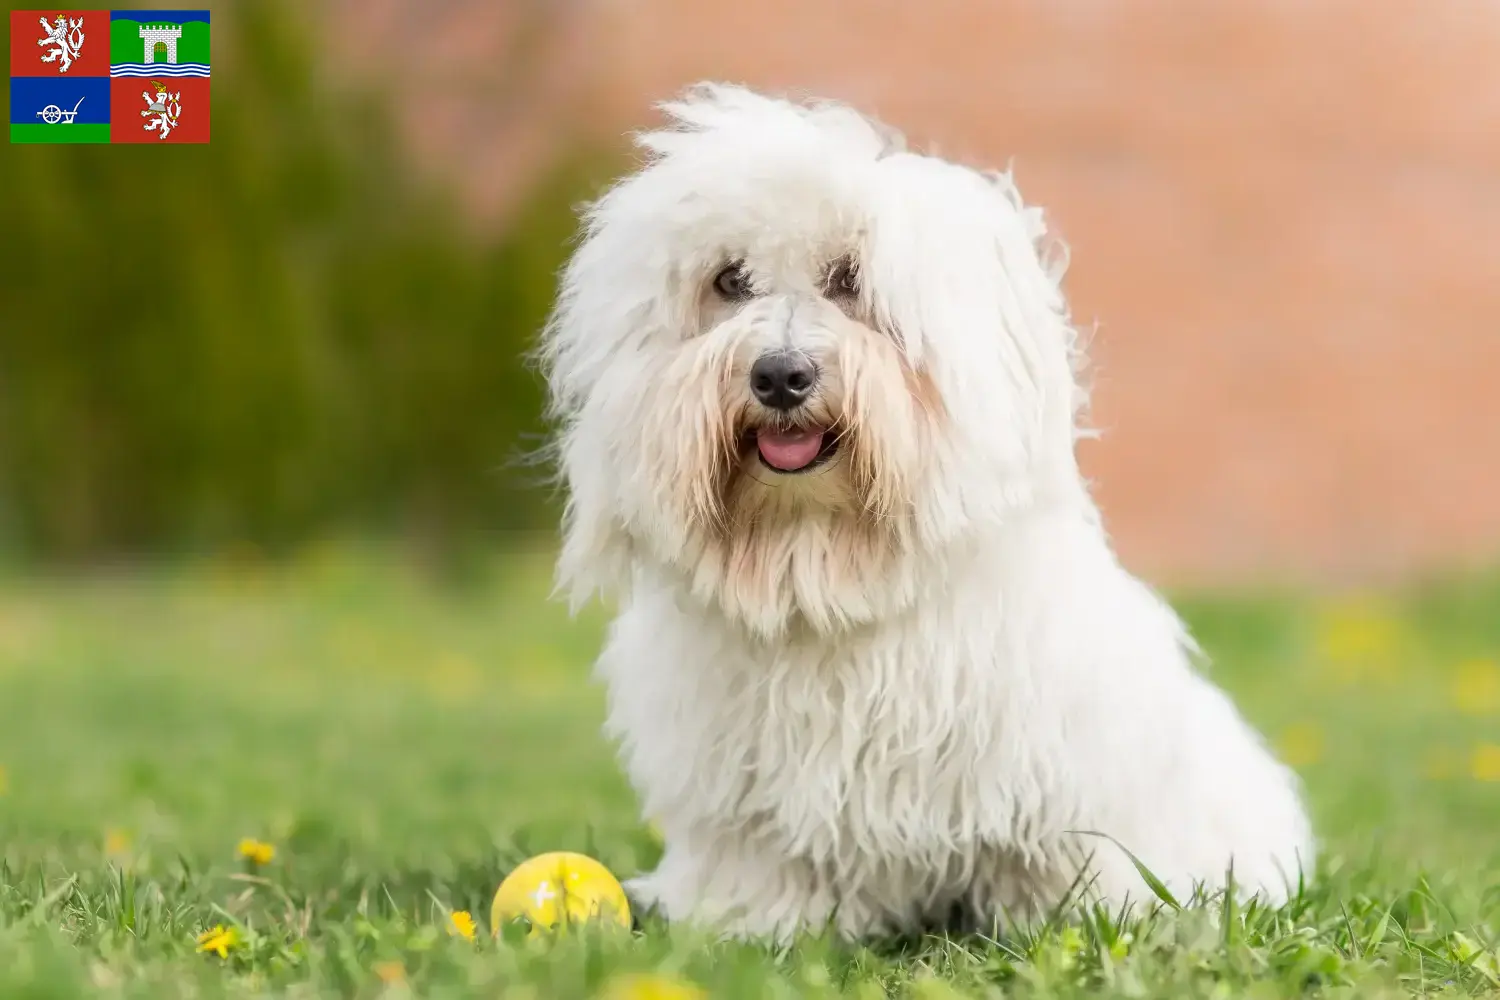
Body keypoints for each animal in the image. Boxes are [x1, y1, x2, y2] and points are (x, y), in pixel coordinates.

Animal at [540, 82, 1314, 941]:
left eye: (849, 279)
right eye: (730, 281)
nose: (779, 375)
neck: (826, 564)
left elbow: (1066, 860)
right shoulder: (746, 800)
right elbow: (768, 867)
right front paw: (754, 924)